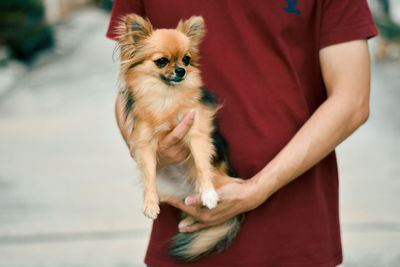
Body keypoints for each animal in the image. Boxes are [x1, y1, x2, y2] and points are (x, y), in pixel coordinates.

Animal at [116, 14, 244, 262]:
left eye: (186, 59)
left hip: (221, 180)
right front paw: (150, 203)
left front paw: (209, 193)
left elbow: (202, 164)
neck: (166, 96)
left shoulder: (196, 131)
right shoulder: (145, 142)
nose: (181, 71)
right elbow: (148, 174)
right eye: (162, 61)